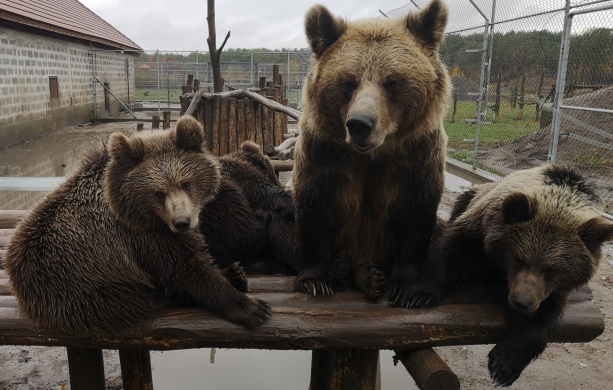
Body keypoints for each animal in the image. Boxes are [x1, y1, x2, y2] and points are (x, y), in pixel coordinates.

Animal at [2, 116, 270, 336]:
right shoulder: (141, 236)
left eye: (187, 183)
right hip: (85, 286)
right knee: (142, 299)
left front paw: (235, 275)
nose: (182, 222)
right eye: (158, 193)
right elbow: (186, 269)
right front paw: (252, 308)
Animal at [292, 0, 450, 304]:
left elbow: (417, 215)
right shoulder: (324, 151)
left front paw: (403, 286)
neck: (374, 154)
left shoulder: (417, 155)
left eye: (393, 82)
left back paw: (378, 277)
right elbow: (314, 206)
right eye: (348, 82)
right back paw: (343, 266)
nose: (360, 124)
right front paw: (316, 279)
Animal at [404, 165, 612, 386]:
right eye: (519, 259)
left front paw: (504, 365)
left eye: (552, 270)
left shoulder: (552, 291)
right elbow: (452, 246)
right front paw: (420, 295)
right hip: (469, 197)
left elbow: (543, 319)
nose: (522, 302)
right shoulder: (482, 225)